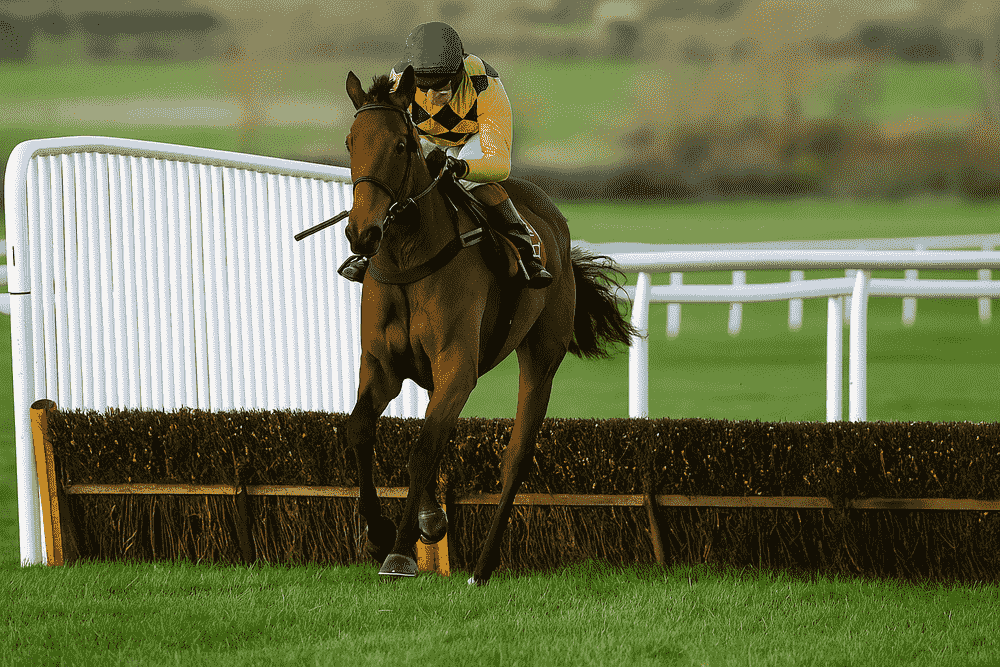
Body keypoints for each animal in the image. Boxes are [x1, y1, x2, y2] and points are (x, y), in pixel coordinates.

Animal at [340, 64, 637, 585]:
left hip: (542, 357)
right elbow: (362, 431)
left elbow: (423, 450)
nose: (362, 233)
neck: (408, 262)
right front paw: (382, 532)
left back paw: (483, 565)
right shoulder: (381, 366)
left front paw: (400, 551)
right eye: (351, 141)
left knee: (516, 457)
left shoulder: (458, 367)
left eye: (401, 145)